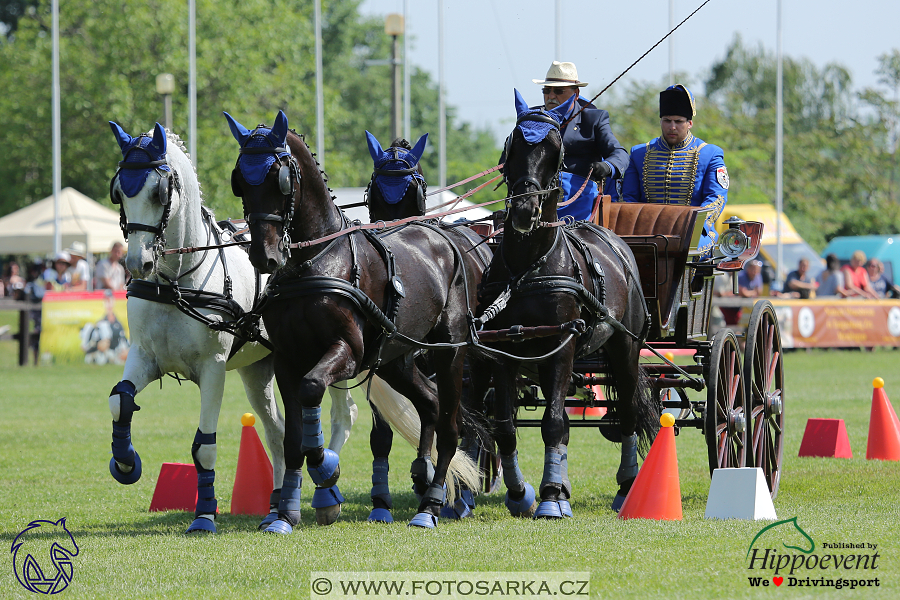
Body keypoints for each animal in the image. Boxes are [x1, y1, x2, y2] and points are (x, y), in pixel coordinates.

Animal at [104, 120, 358, 528]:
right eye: (119, 192)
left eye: (160, 191)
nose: (137, 263)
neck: (177, 281)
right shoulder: (145, 356)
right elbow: (119, 401)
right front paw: (125, 462)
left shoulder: (213, 367)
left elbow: (204, 445)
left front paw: (204, 516)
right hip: (259, 372)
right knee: (276, 431)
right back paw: (277, 501)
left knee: (341, 416)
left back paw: (325, 489)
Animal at [227, 112, 492, 528]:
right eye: (240, 178)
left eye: (279, 178)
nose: (263, 256)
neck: (314, 261)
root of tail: (449, 238)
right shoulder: (286, 358)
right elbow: (291, 439)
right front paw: (284, 513)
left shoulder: (348, 351)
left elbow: (312, 388)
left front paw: (326, 467)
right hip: (396, 359)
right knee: (430, 404)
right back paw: (423, 471)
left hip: (449, 350)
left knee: (451, 425)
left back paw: (430, 504)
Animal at [474, 91, 656, 516]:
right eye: (512, 144)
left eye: (555, 150)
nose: (525, 210)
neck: (529, 266)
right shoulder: (506, 351)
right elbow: (506, 427)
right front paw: (521, 493)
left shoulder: (563, 345)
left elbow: (554, 422)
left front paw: (551, 498)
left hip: (624, 347)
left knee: (627, 413)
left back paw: (626, 484)